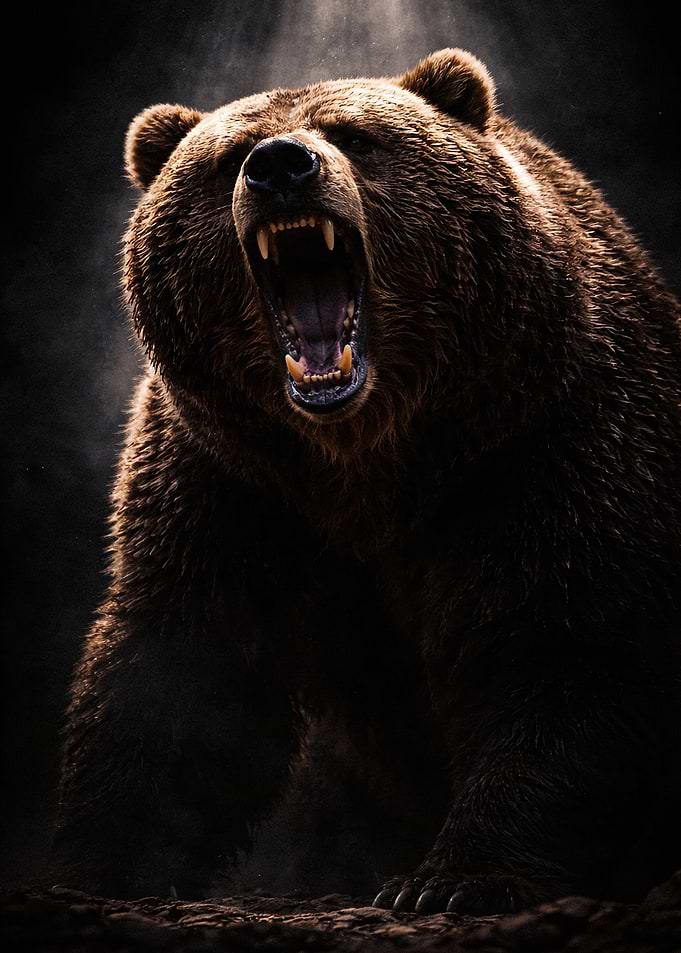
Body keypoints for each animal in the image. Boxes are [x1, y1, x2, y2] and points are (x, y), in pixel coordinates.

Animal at [50, 48, 681, 914]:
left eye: (354, 134)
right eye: (227, 157)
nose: (281, 166)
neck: (367, 457)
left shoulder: (549, 439)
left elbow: (567, 639)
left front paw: (455, 878)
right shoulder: (230, 478)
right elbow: (183, 663)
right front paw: (98, 868)